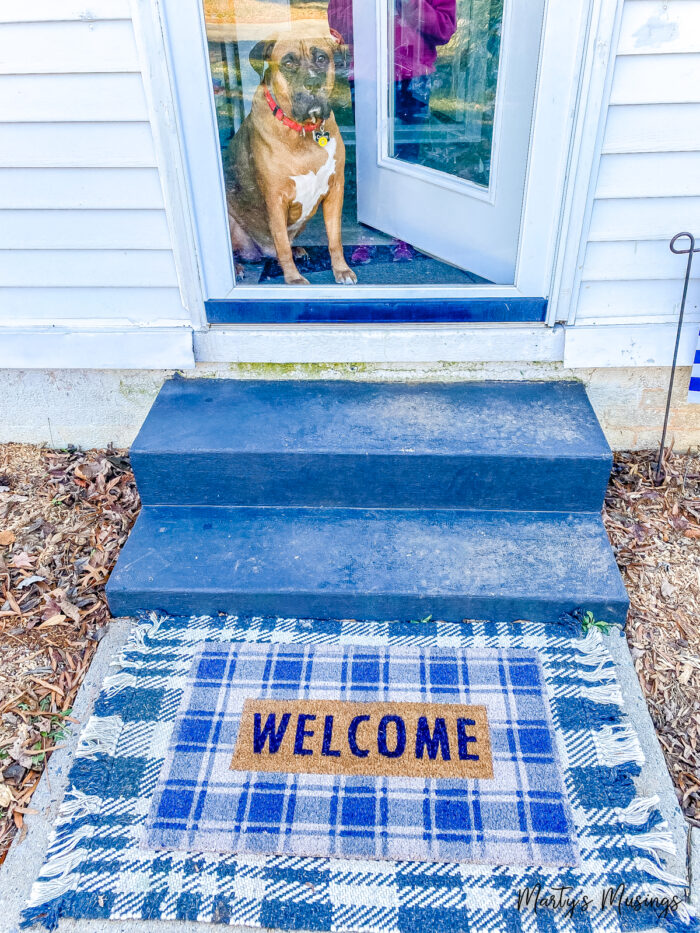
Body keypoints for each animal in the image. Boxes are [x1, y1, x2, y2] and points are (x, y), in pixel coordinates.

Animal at [224, 25, 356, 284]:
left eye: (321, 59)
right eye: (288, 63)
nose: (313, 83)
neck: (303, 132)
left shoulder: (335, 189)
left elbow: (335, 238)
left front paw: (341, 269)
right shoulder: (276, 199)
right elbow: (282, 245)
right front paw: (294, 279)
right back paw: (237, 268)